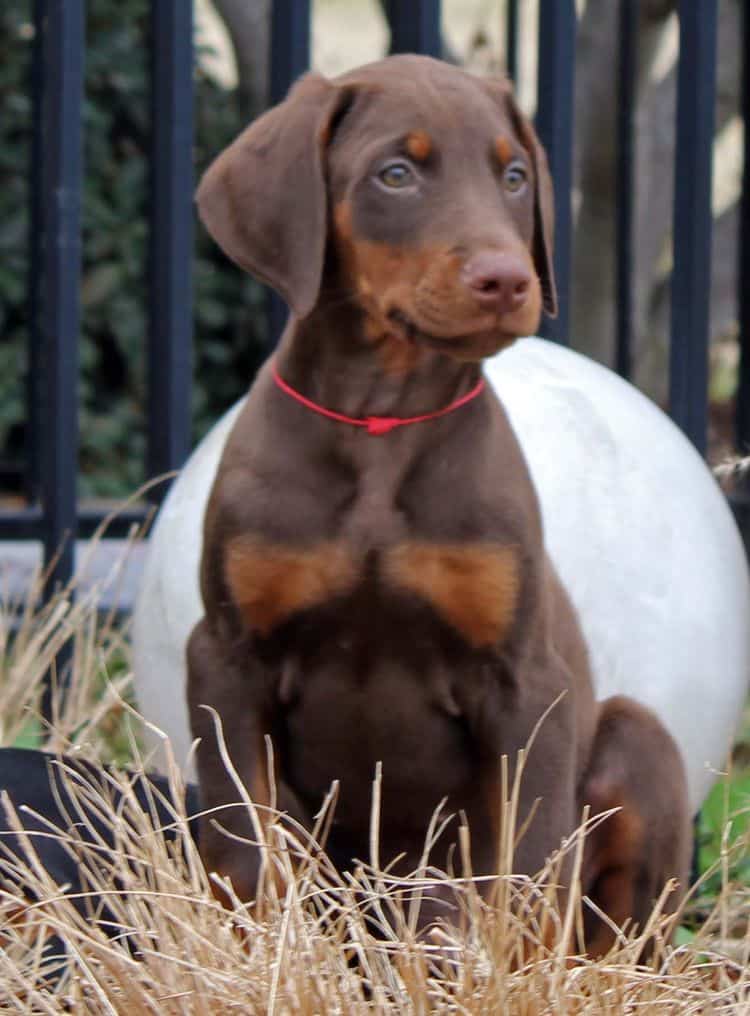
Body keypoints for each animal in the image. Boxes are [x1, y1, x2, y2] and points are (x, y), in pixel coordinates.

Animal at [188, 55, 691, 955]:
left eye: (515, 176)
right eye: (396, 174)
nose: (507, 279)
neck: (382, 421)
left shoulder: (524, 679)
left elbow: (528, 862)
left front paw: (511, 970)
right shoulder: (225, 654)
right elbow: (244, 842)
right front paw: (259, 955)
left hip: (638, 740)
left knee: (619, 925)